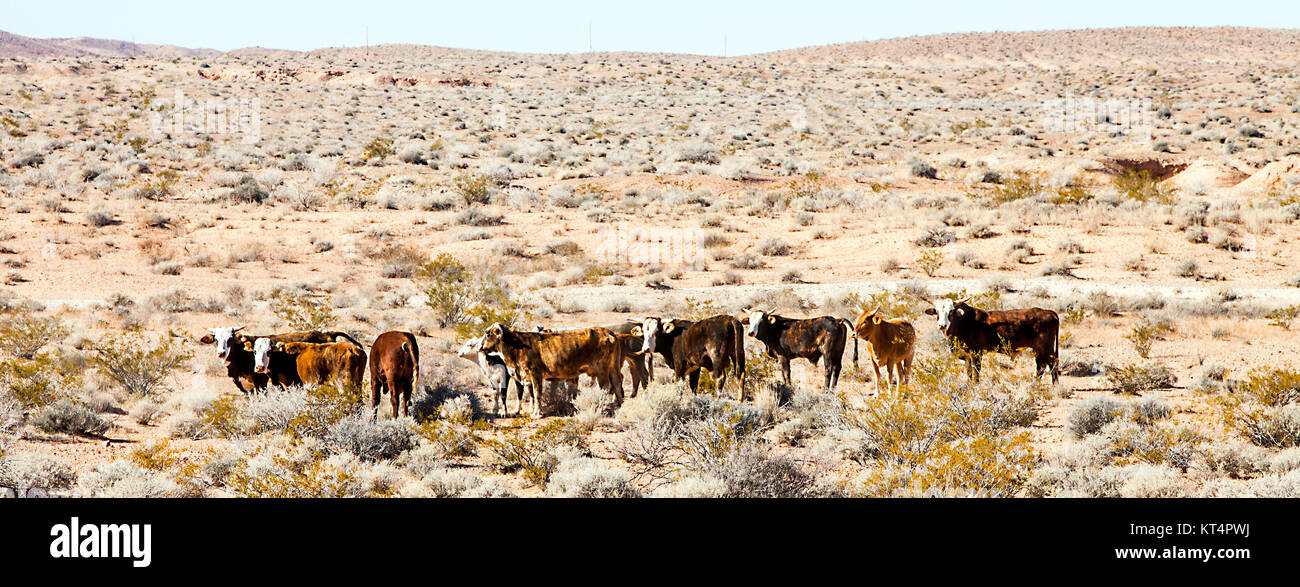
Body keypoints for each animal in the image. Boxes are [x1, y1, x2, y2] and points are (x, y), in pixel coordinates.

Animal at [479, 323, 624, 418]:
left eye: (487, 333)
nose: (481, 347)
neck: (517, 346)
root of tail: (609, 333)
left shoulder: (535, 373)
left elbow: (537, 394)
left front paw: (537, 414)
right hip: (613, 369)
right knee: (617, 384)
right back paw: (620, 406)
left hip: (602, 371)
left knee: (606, 388)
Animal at [924, 297, 1060, 383]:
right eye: (936, 311)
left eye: (951, 311)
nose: (942, 325)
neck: (963, 322)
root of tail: (1049, 312)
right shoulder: (967, 356)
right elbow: (969, 373)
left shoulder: (976, 353)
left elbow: (976, 373)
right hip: (1038, 349)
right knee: (1041, 366)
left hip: (1046, 348)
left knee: (1052, 364)